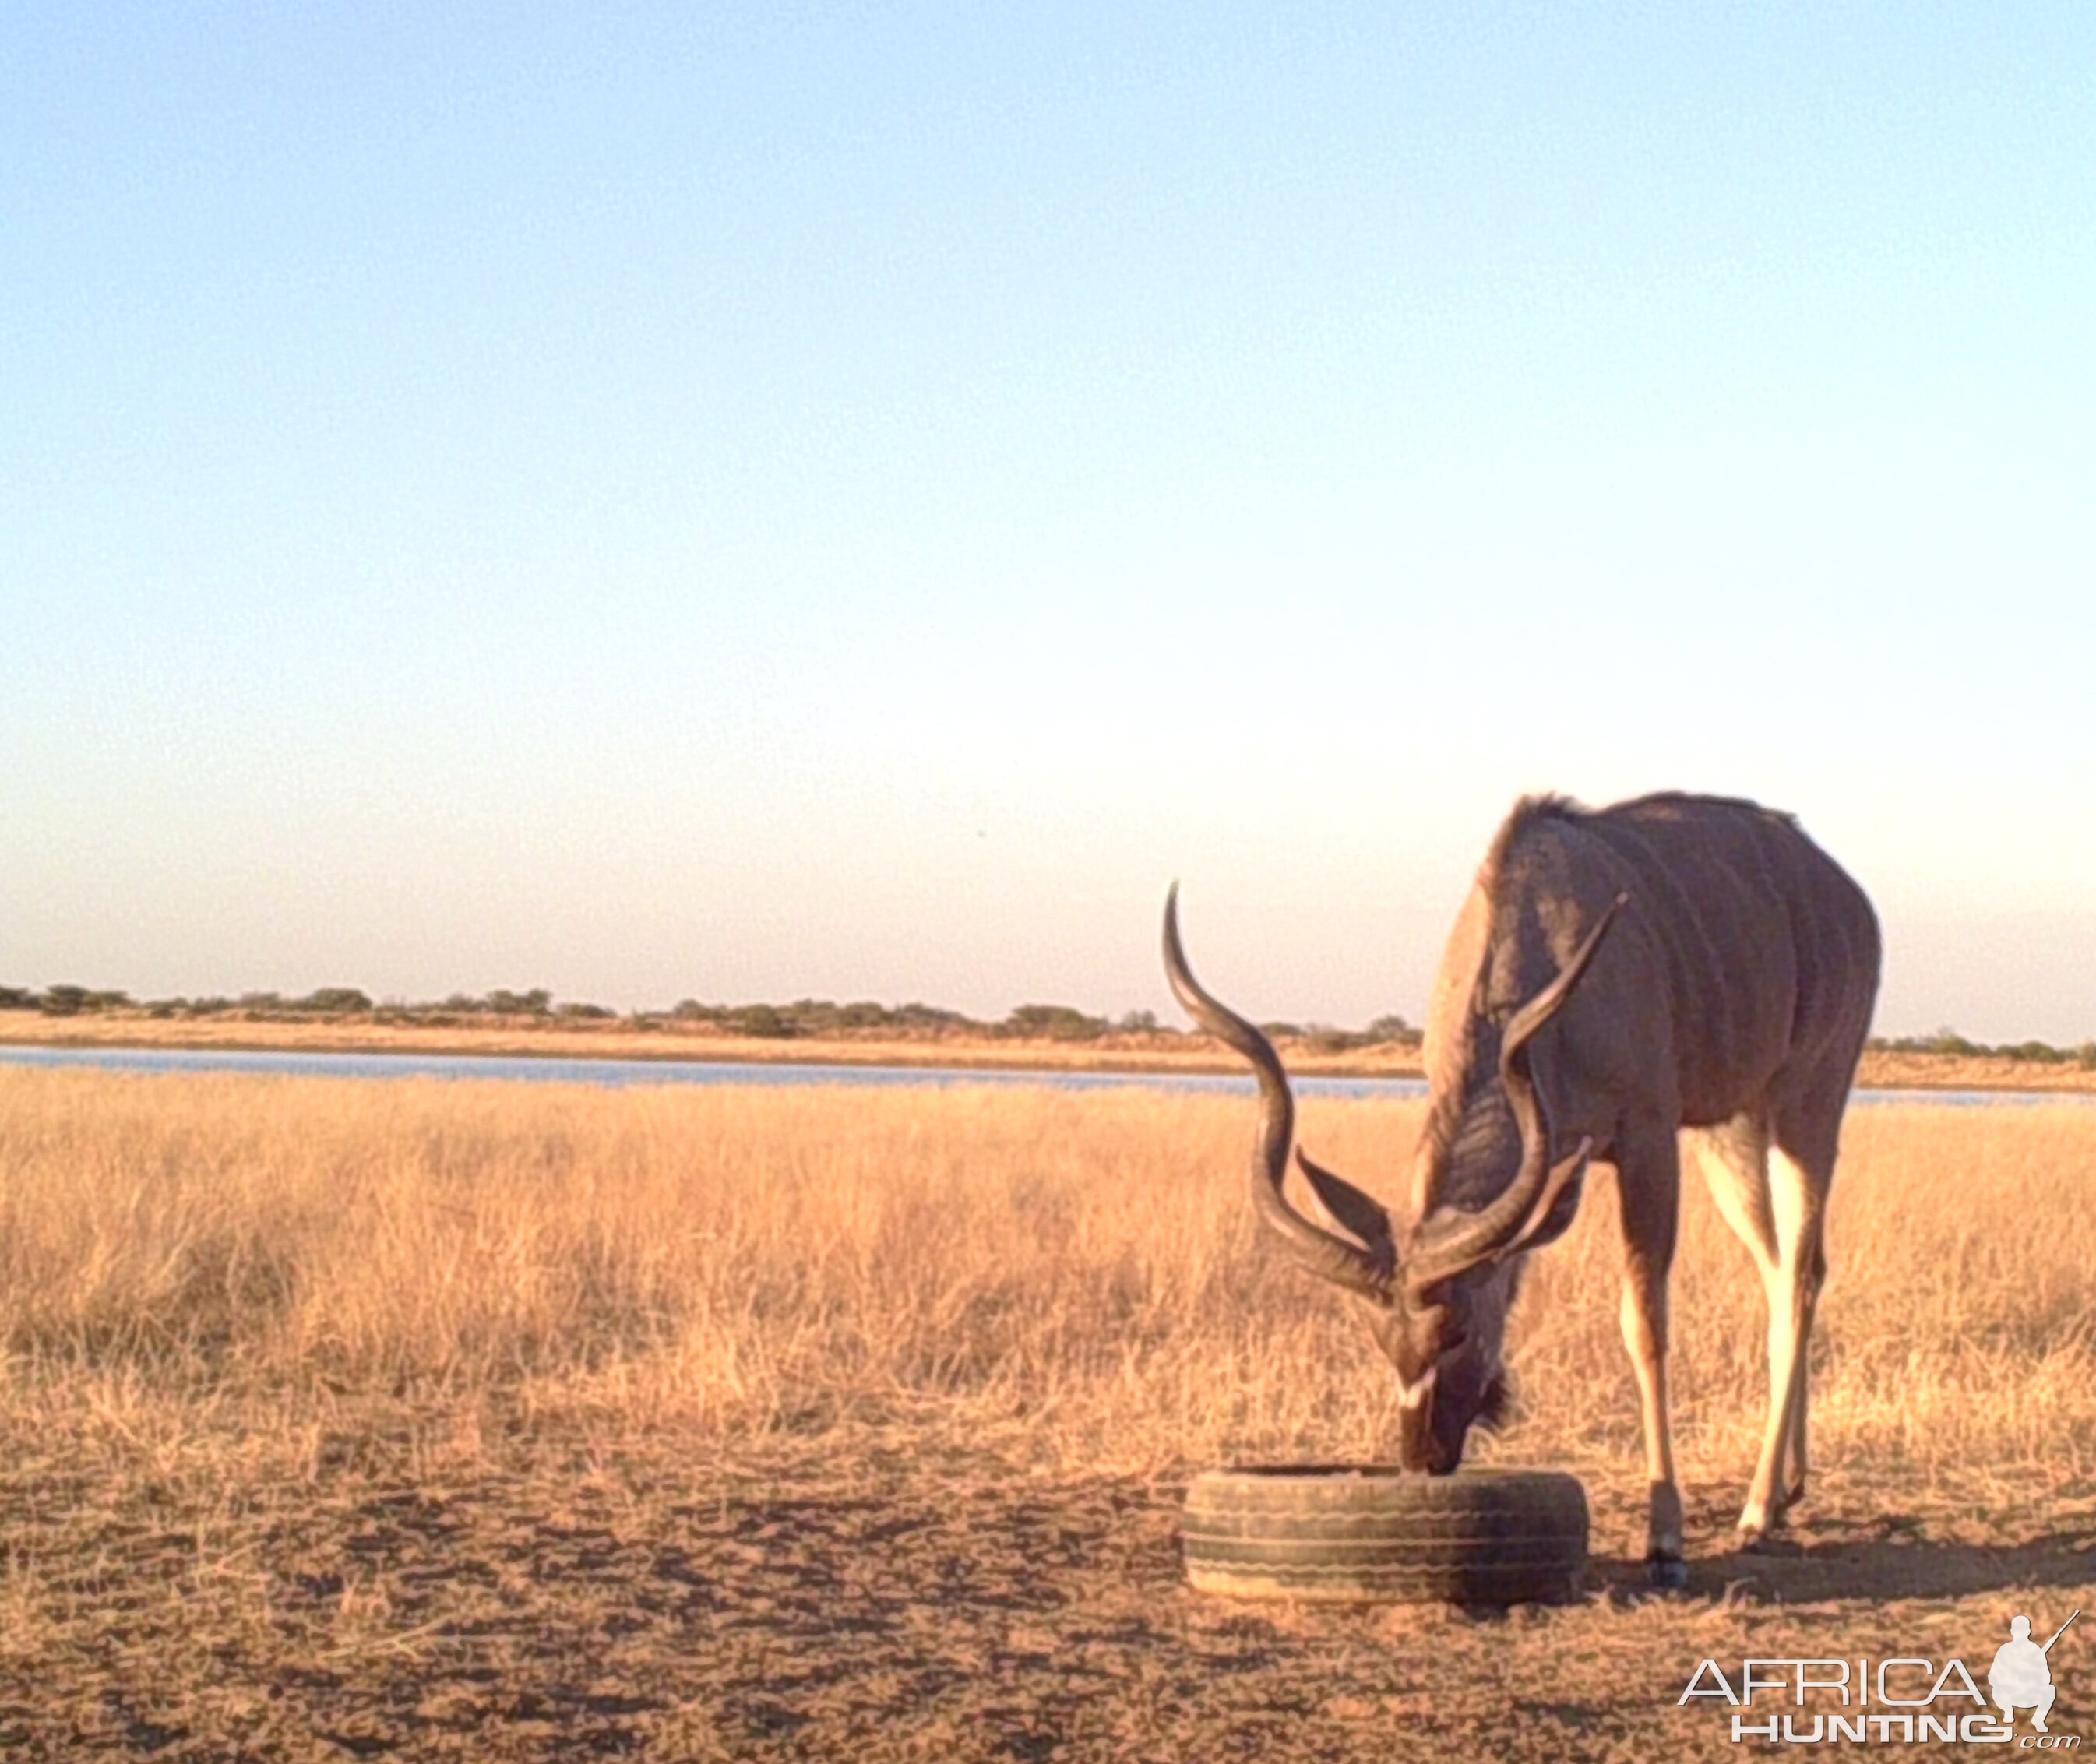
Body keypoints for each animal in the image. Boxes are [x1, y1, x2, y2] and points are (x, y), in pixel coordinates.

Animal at [1165, 791, 1886, 1575]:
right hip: (1732, 1133)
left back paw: (1755, 1509)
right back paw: (1785, 1490)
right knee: (1783, 1270)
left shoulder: (1646, 1138)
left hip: (1805, 1103)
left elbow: (1644, 1322)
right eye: (1380, 1337)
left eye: (1454, 1331)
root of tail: (1847, 896)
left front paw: (1664, 1536)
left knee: (1801, 1275)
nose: (1422, 1459)